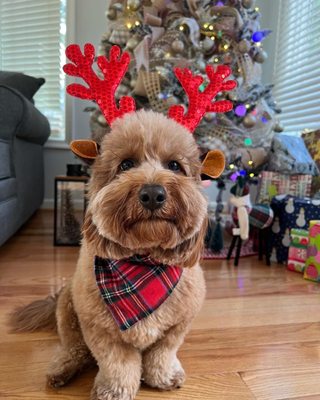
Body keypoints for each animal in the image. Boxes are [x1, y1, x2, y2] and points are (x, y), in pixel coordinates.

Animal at [10, 43, 235, 400]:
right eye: (126, 164)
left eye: (175, 165)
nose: (153, 194)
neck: (143, 265)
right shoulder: (100, 329)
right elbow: (117, 363)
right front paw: (114, 390)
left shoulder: (179, 324)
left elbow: (163, 352)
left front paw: (163, 376)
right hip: (69, 310)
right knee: (73, 347)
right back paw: (62, 368)